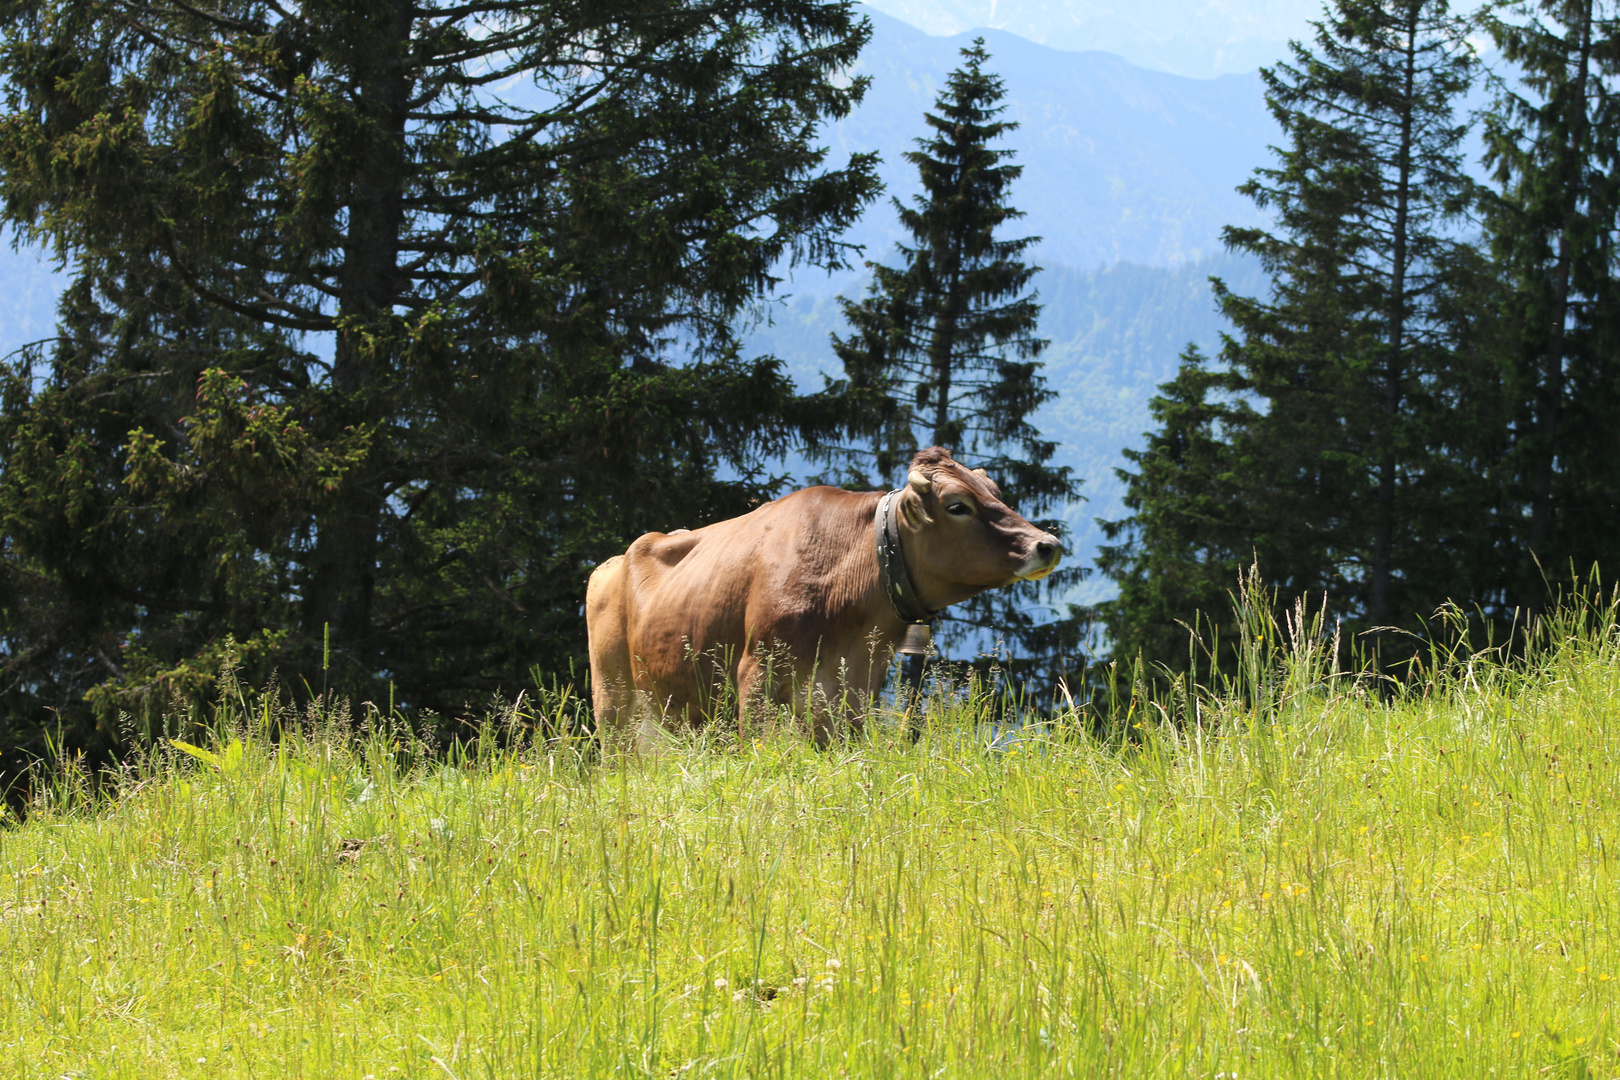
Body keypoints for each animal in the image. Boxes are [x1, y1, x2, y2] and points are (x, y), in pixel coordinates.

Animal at [586, 446, 1062, 751]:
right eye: (957, 505)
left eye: (996, 495)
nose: (1047, 544)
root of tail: (613, 560)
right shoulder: (757, 670)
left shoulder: (855, 684)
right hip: (613, 699)